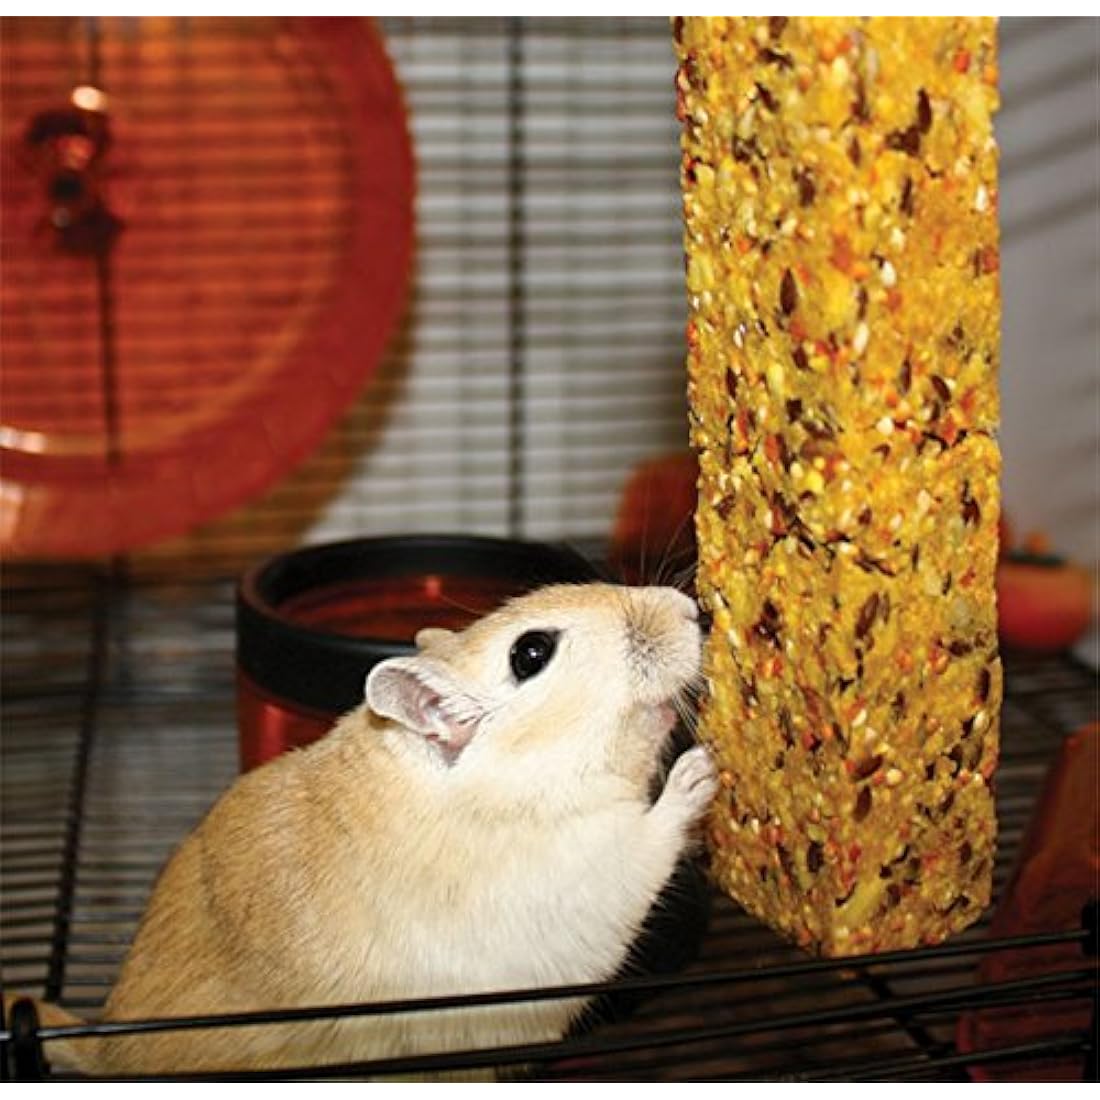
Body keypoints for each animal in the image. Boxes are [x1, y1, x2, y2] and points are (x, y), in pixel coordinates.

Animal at [5, 582, 718, 1078]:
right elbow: (650, 843)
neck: (503, 788)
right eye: (532, 652)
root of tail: (107, 1050)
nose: (690, 609)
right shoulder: (584, 871)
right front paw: (699, 769)